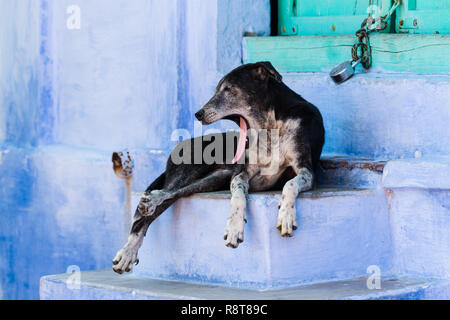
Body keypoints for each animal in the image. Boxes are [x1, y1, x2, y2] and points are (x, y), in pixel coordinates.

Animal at [112, 62, 324, 272]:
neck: (268, 126)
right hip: (191, 171)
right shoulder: (240, 173)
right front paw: (234, 227)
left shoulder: (306, 170)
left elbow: (290, 184)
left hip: (213, 179)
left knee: (171, 195)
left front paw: (286, 215)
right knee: (159, 202)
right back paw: (129, 248)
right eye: (216, 90)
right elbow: (237, 196)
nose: (198, 114)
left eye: (228, 89)